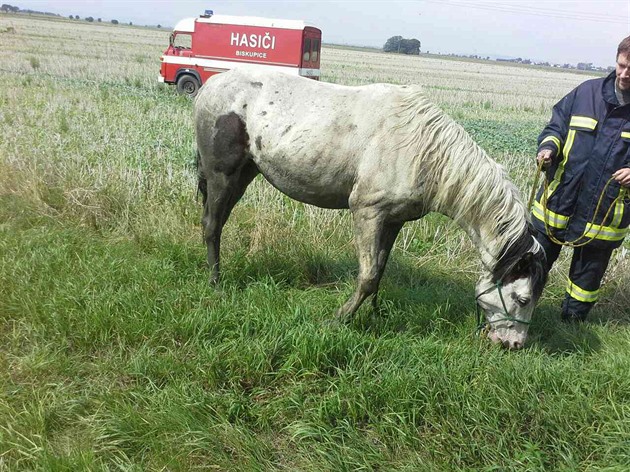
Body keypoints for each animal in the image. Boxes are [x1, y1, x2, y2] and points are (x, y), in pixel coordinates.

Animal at [196, 68, 548, 348]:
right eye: (523, 298)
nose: (514, 344)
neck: (424, 150)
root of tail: (210, 85)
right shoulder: (367, 213)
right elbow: (366, 276)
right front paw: (339, 319)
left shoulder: (393, 220)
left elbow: (379, 270)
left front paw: (376, 314)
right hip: (222, 175)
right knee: (212, 225)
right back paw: (216, 284)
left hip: (244, 174)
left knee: (216, 222)